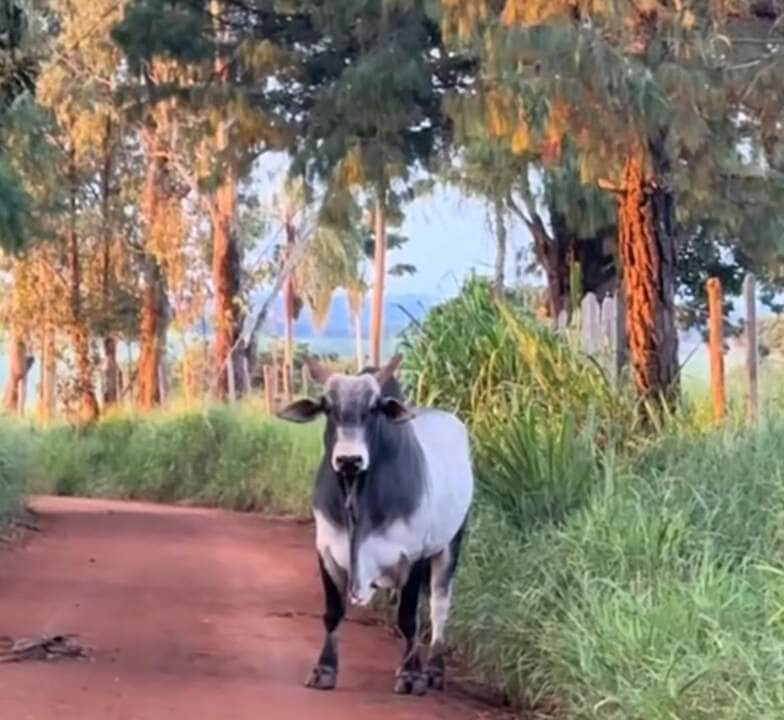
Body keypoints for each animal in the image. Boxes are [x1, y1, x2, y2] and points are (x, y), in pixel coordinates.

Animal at [278, 358, 474, 696]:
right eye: (328, 407)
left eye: (373, 409)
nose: (349, 460)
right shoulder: (325, 551)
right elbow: (333, 613)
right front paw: (324, 669)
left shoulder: (414, 555)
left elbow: (409, 618)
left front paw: (410, 675)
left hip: (451, 543)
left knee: (438, 606)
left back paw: (433, 669)